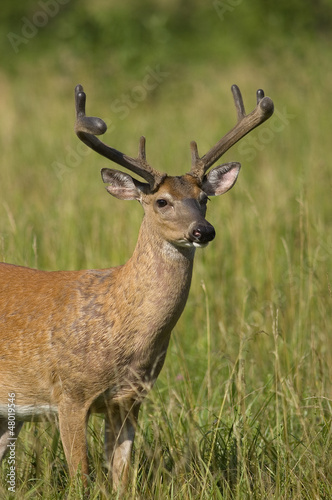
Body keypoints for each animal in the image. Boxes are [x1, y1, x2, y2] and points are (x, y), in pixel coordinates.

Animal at [0, 84, 274, 490]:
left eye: (204, 199)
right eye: (162, 201)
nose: (203, 231)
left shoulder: (129, 400)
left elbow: (122, 478)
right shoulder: (69, 393)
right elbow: (81, 478)